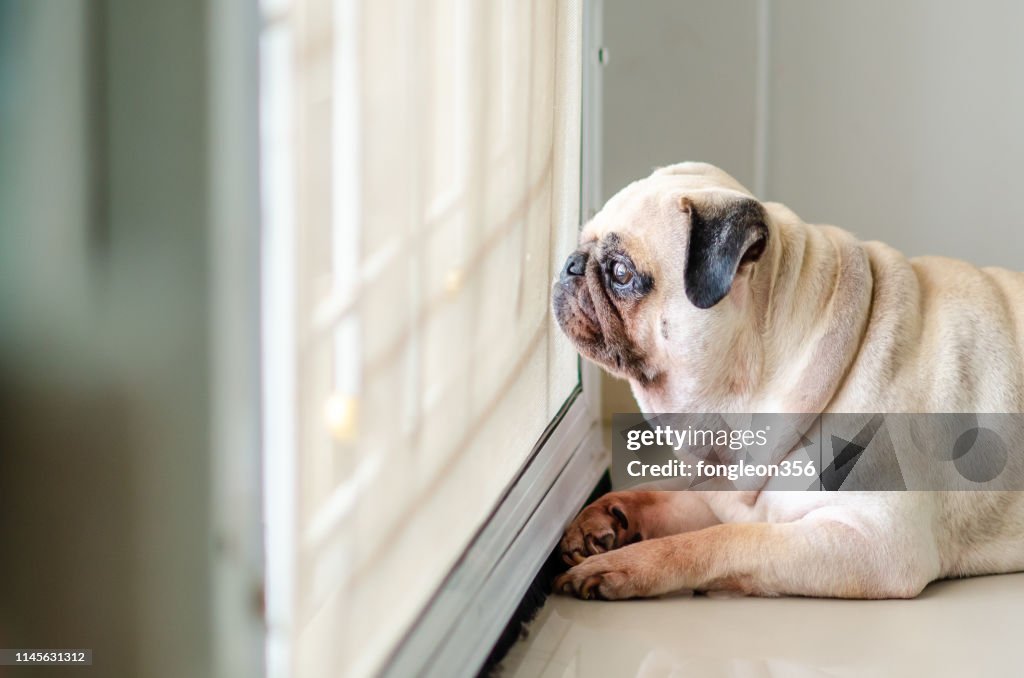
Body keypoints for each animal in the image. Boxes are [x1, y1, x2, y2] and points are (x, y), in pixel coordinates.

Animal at [552, 164, 1024, 602]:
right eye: (581, 245)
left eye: (620, 272)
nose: (571, 265)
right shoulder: (724, 491)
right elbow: (653, 492)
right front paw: (604, 516)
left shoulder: (875, 542)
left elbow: (714, 541)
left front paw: (626, 564)